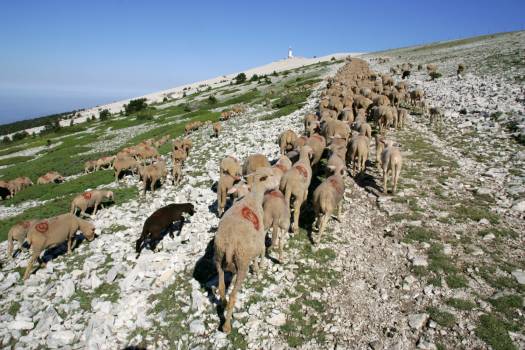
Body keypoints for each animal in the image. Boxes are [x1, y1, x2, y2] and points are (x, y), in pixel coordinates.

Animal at [213, 167, 280, 334]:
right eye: (270, 175)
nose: (279, 182)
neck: (253, 198)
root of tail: (230, 243)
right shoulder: (259, 238)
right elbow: (261, 251)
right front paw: (259, 268)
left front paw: (256, 267)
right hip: (242, 262)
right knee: (233, 296)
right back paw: (227, 326)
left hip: (218, 258)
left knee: (222, 288)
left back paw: (223, 303)